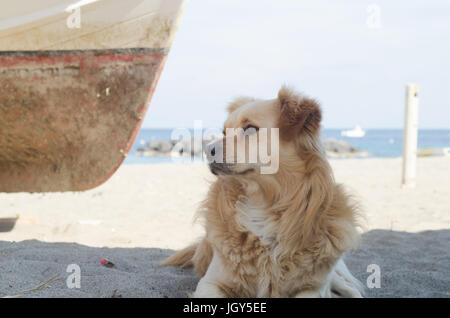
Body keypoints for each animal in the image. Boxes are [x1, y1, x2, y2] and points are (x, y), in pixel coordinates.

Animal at [160, 85, 364, 296]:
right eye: (224, 132)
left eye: (250, 129)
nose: (207, 150)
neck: (263, 207)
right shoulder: (211, 282)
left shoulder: (314, 288)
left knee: (349, 287)